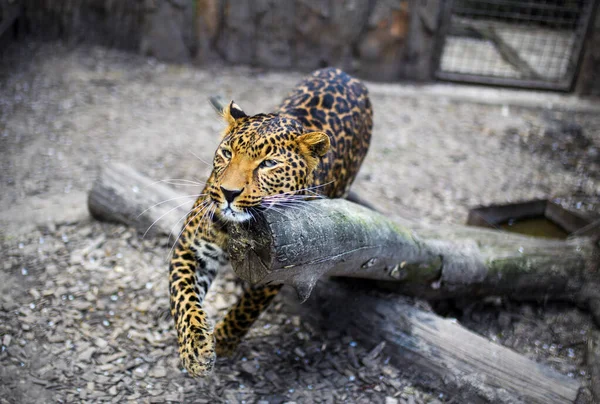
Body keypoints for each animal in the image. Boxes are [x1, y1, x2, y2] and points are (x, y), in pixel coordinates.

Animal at [169, 67, 372, 376]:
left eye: (268, 164)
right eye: (227, 153)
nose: (228, 192)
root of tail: (343, 72)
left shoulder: (289, 264)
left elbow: (246, 309)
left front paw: (224, 340)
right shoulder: (192, 247)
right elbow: (184, 298)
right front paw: (195, 350)